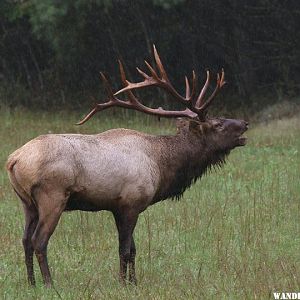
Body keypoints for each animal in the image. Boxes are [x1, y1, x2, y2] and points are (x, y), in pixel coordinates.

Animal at [6, 45, 248, 288]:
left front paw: (134, 282)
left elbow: (133, 249)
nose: (245, 123)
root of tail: (13, 159)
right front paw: (124, 283)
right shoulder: (131, 203)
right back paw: (49, 284)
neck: (161, 166)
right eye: (217, 124)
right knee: (39, 240)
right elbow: (124, 249)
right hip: (52, 196)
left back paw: (31, 282)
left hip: (27, 203)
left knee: (25, 240)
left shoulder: (119, 207)